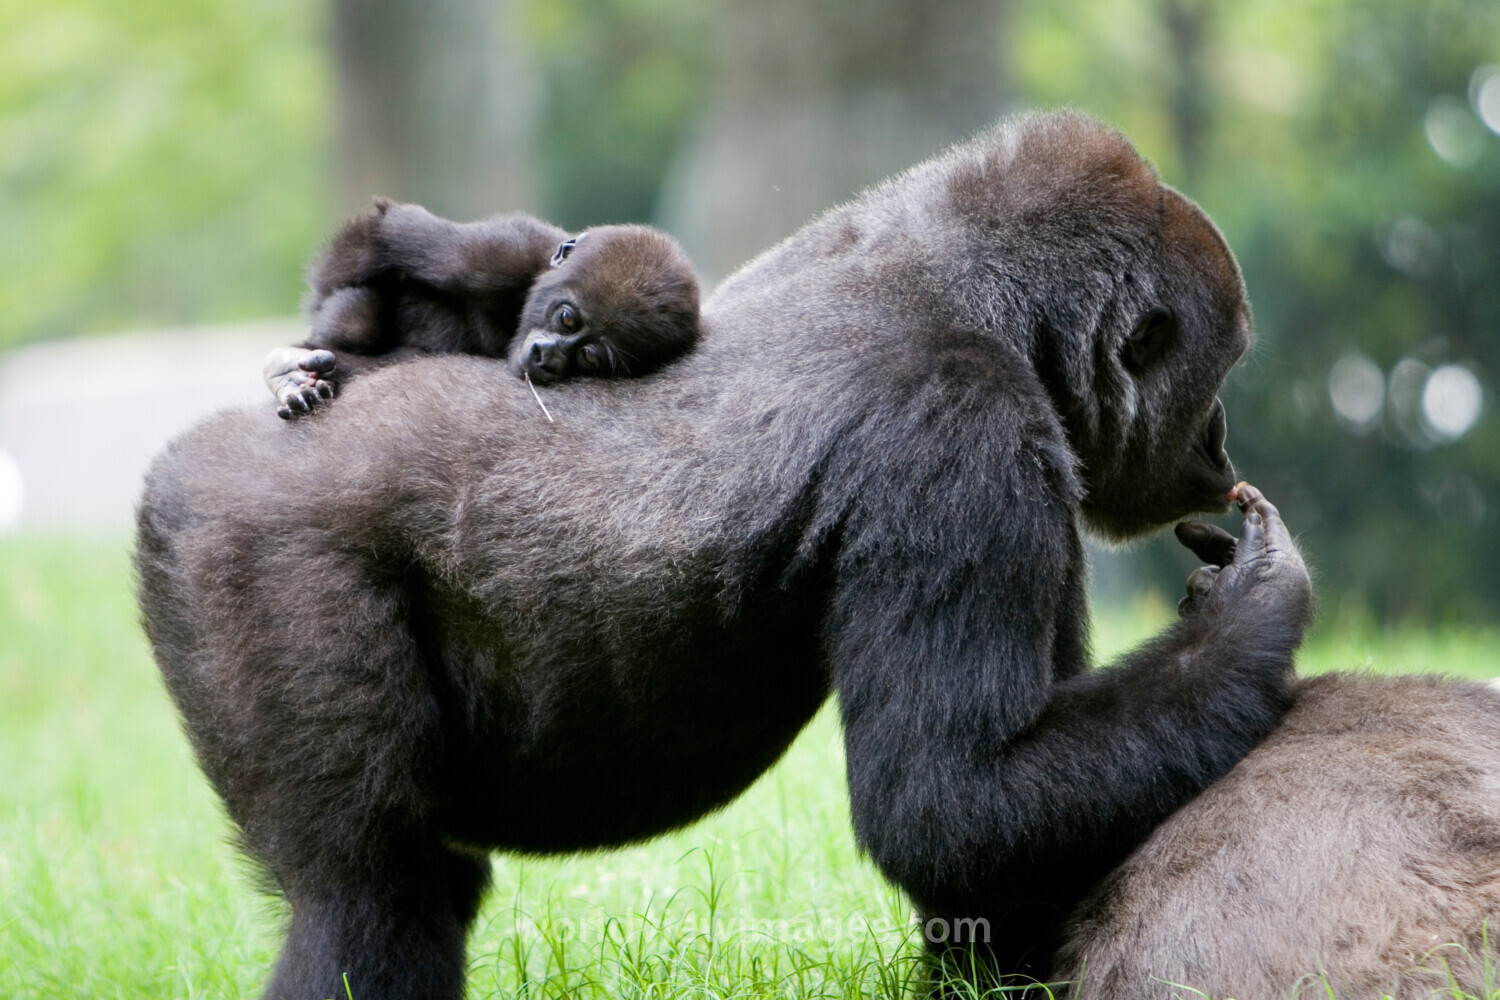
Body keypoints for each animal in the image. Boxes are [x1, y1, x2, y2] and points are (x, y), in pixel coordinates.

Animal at [263, 200, 700, 419]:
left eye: (590, 357)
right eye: (567, 318)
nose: (548, 357)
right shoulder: (498, 252)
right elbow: (387, 228)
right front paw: (292, 372)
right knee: (357, 320)